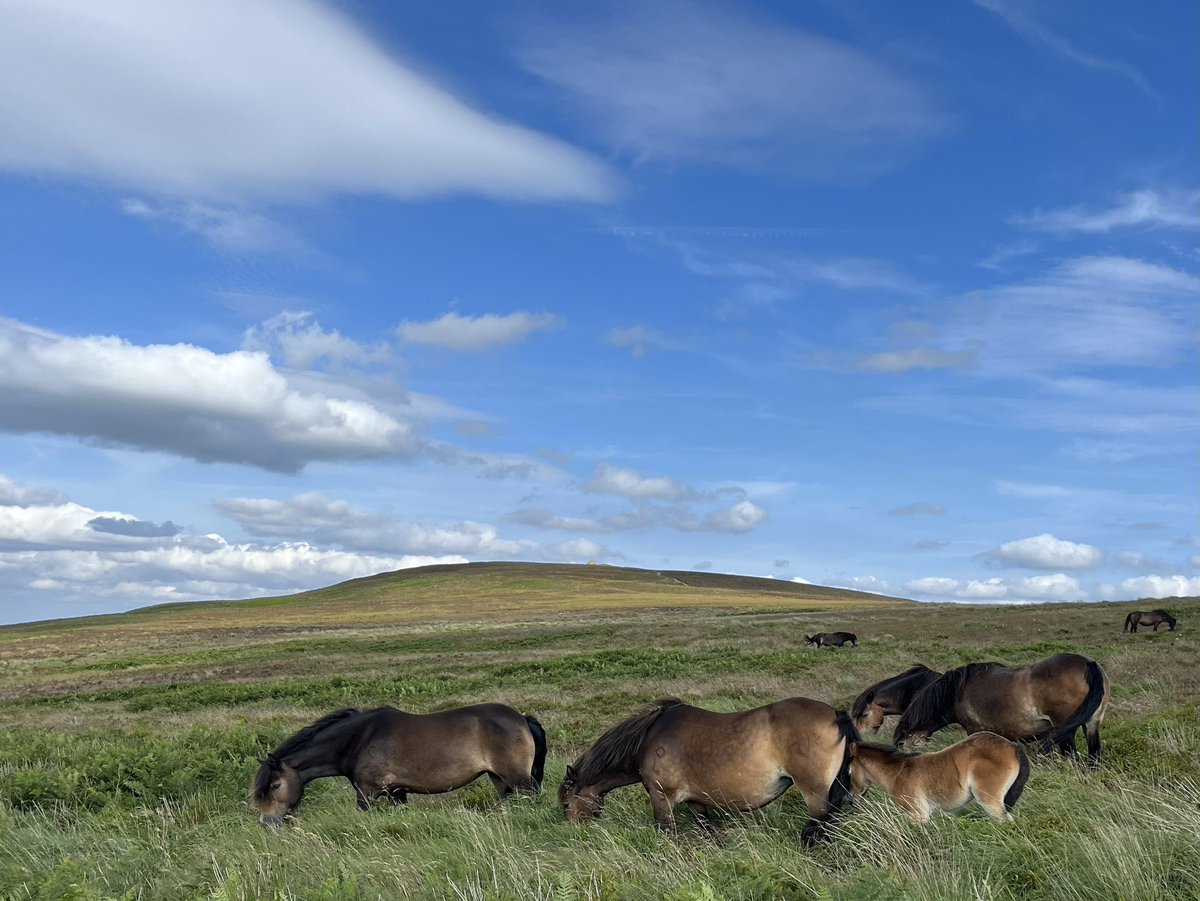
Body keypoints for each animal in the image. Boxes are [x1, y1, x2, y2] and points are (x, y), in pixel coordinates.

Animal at [250, 704, 547, 827]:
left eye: (275, 785)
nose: (267, 823)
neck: (359, 738)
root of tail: (522, 718)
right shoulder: (397, 793)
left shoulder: (367, 793)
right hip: (499, 780)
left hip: (520, 781)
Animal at [557, 697, 858, 844]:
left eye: (566, 804)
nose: (572, 834)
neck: (646, 740)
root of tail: (836, 714)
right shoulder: (695, 802)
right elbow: (707, 832)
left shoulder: (661, 798)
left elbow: (665, 833)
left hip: (814, 793)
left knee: (820, 826)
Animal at [849, 732, 1030, 823]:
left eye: (848, 772)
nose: (852, 800)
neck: (897, 772)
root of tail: (1013, 746)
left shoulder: (918, 815)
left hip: (989, 801)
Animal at [893, 653, 1109, 767]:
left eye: (907, 721)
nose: (900, 744)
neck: (956, 692)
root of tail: (1088, 664)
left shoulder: (975, 730)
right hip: (1092, 725)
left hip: (1066, 732)